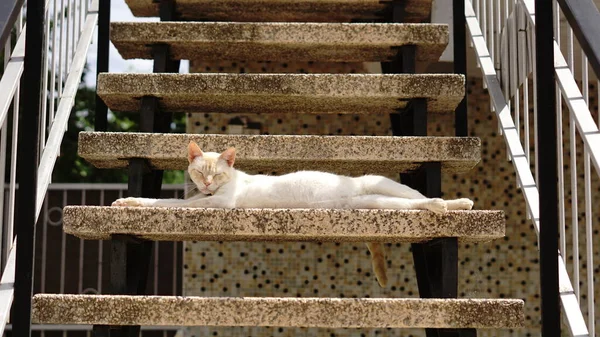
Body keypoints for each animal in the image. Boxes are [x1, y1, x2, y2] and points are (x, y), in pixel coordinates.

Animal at [113, 140, 474, 284]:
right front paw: (128, 201)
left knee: (418, 196)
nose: (208, 184)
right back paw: (453, 205)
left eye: (217, 175)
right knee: (411, 202)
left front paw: (133, 202)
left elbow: (170, 203)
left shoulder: (220, 203)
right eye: (201, 173)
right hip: (372, 201)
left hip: (379, 183)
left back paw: (452, 204)